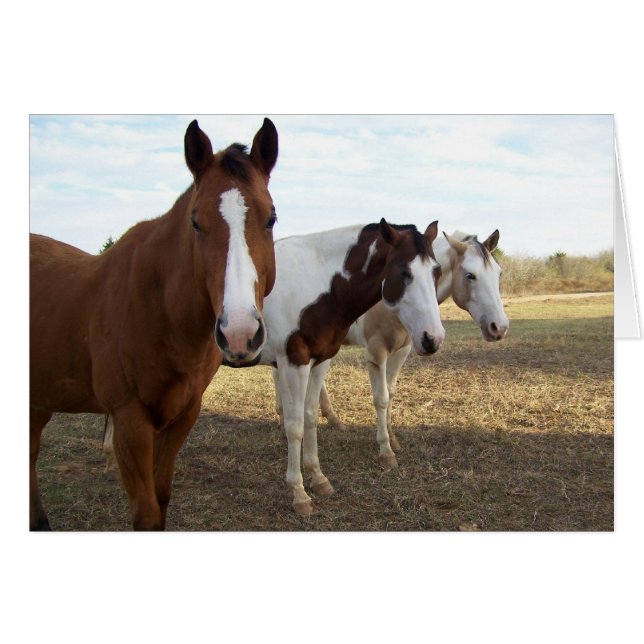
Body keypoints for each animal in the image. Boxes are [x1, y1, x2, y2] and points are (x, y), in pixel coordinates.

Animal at [30, 118, 279, 531]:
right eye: (196, 222)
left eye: (271, 218)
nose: (239, 334)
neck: (160, 312)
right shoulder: (129, 420)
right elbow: (145, 512)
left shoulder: (183, 415)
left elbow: (161, 500)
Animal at [260, 221, 446, 516]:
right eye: (404, 272)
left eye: (436, 271)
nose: (433, 338)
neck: (313, 281)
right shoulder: (294, 362)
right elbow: (296, 425)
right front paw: (299, 494)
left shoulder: (320, 360)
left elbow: (310, 417)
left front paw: (318, 479)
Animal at [311, 229, 509, 468]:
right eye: (470, 275)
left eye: (498, 274)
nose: (499, 327)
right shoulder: (377, 352)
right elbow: (381, 398)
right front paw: (386, 451)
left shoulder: (401, 351)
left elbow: (391, 393)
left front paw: (393, 440)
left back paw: (333, 420)